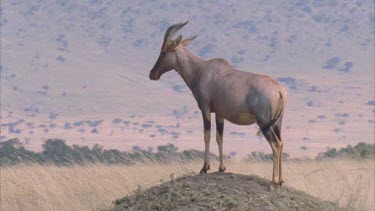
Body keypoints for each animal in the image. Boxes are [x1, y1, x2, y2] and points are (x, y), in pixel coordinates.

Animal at [149, 21, 288, 186]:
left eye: (164, 51)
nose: (152, 74)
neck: (201, 69)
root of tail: (278, 89)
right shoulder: (220, 113)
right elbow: (219, 137)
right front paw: (221, 168)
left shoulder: (205, 108)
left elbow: (207, 135)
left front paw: (204, 168)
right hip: (277, 122)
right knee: (281, 142)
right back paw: (281, 180)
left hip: (263, 121)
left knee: (275, 144)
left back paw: (274, 181)